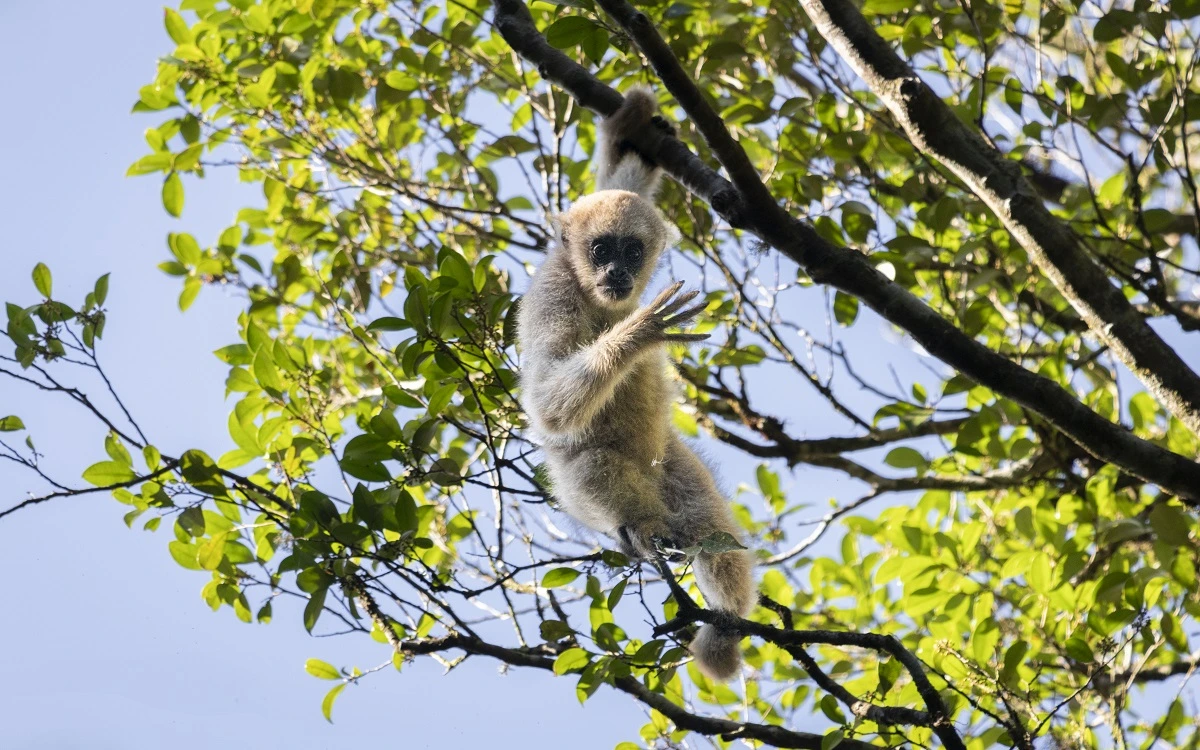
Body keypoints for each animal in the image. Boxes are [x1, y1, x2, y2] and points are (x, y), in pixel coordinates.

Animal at [513, 87, 748, 676]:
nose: (616, 273)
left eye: (632, 250)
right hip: (583, 488)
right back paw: (642, 531)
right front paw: (640, 333)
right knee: (590, 463)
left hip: (666, 461)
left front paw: (632, 129)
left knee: (710, 527)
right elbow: (546, 404)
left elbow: (621, 178)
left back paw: (725, 625)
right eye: (601, 249)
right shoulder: (554, 293)